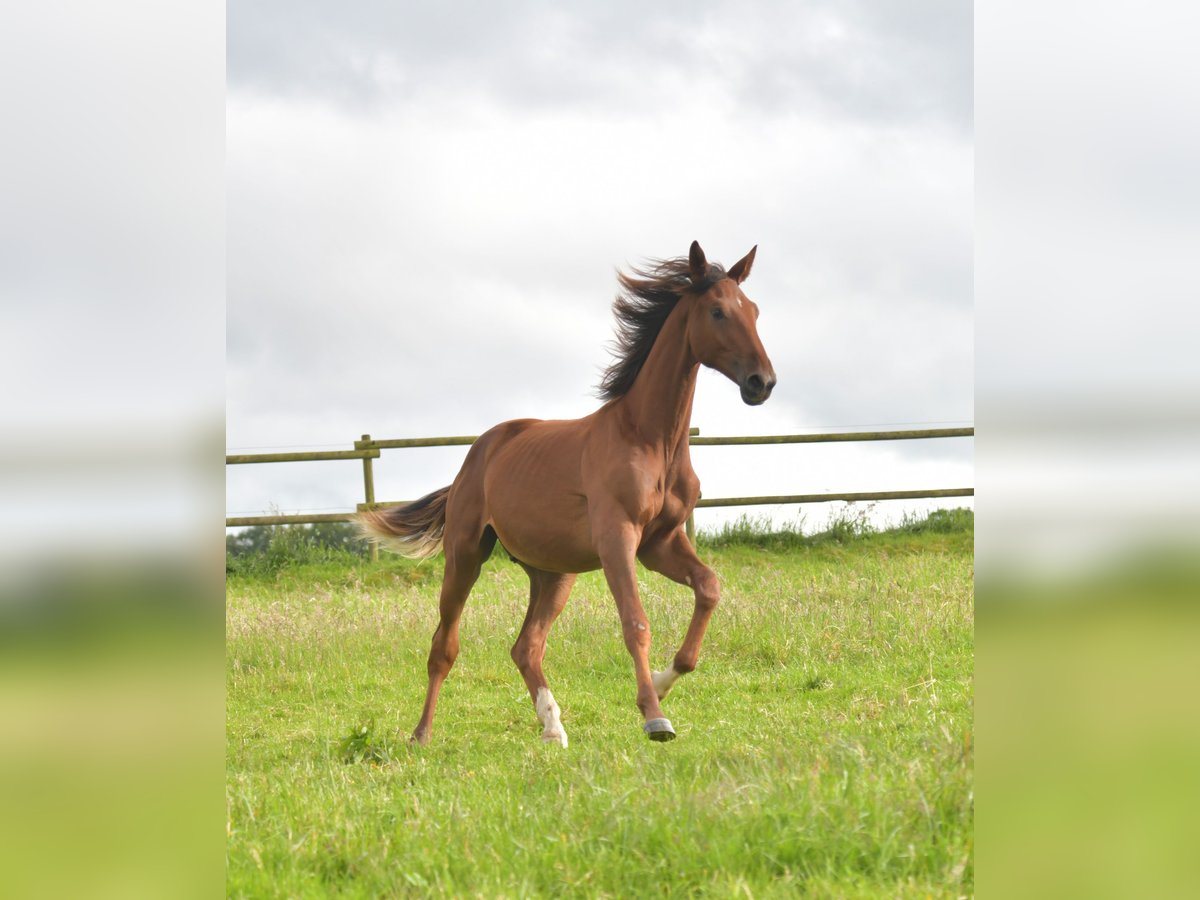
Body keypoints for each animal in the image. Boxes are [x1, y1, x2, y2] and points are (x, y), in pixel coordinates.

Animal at [357, 240, 777, 748]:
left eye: (753, 310)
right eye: (717, 311)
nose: (762, 382)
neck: (649, 438)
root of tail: (477, 454)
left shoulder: (660, 543)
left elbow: (709, 588)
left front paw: (661, 682)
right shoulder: (618, 539)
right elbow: (635, 622)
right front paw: (655, 717)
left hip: (554, 574)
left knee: (526, 646)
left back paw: (553, 728)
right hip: (465, 554)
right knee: (445, 645)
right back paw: (421, 734)